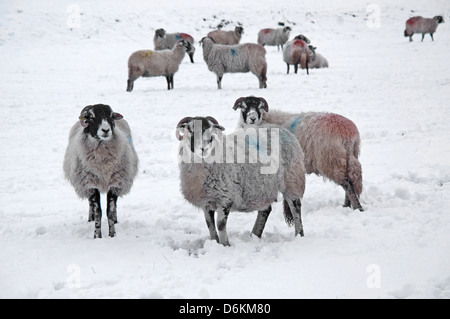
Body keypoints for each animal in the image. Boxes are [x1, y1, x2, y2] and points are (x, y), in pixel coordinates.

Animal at [62, 104, 138, 239]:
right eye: (91, 117)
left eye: (111, 116)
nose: (106, 130)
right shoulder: (91, 184)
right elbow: (98, 211)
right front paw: (97, 235)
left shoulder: (115, 183)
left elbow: (110, 211)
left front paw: (112, 234)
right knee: (90, 204)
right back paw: (90, 218)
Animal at [176, 116, 306, 246]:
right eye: (190, 130)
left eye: (211, 130)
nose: (203, 149)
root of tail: (281, 128)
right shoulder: (206, 201)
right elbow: (210, 225)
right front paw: (214, 243)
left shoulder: (226, 197)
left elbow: (220, 225)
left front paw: (225, 245)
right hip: (263, 187)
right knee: (265, 210)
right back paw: (255, 235)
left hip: (292, 180)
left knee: (296, 208)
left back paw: (299, 235)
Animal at [234, 96, 364, 214]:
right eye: (243, 106)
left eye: (260, 107)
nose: (252, 118)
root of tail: (348, 132)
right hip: (349, 156)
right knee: (351, 180)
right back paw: (347, 205)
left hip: (331, 159)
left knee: (347, 183)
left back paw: (357, 207)